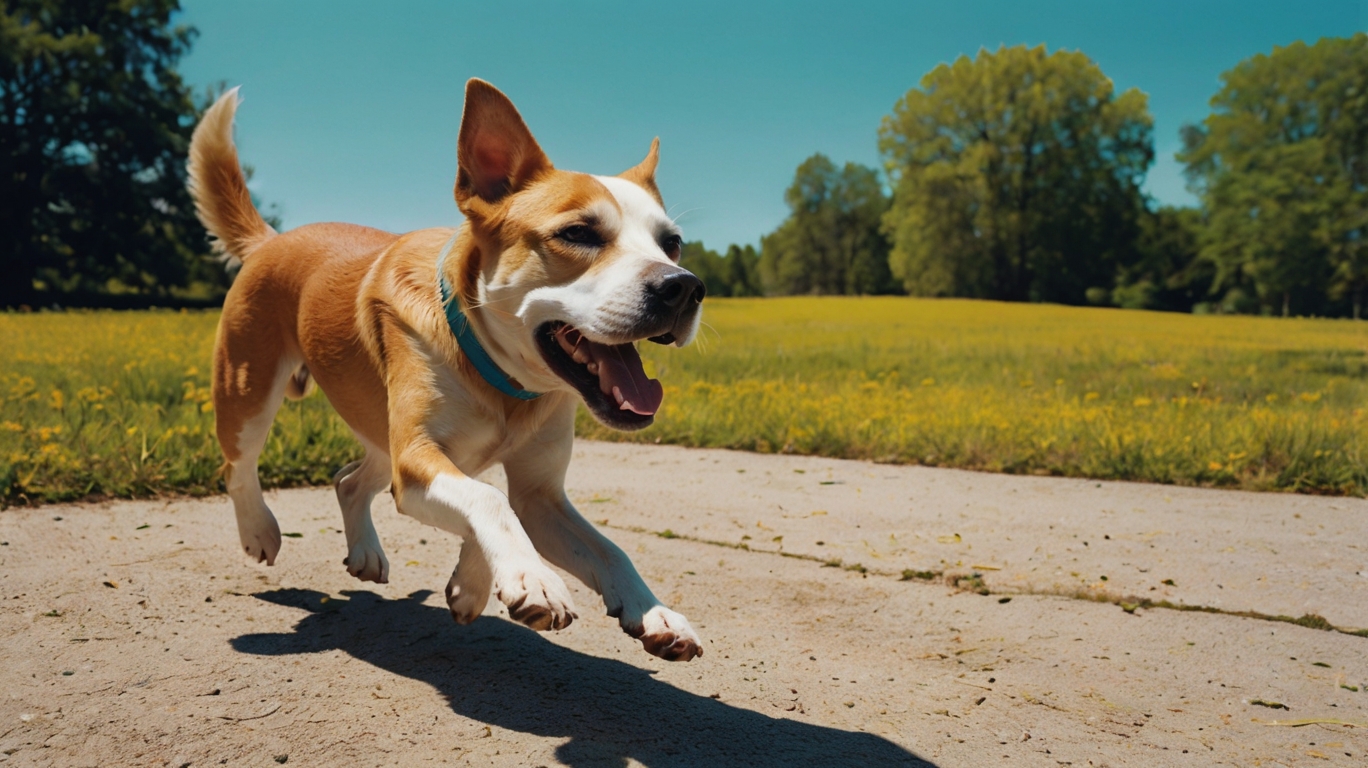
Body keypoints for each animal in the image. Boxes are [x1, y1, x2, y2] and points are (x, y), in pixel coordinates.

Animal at [186, 80, 705, 662]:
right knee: (238, 464)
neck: (504, 381)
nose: (684, 286)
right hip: (248, 388)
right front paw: (534, 579)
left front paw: (652, 610)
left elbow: (603, 546)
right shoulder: (418, 460)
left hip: (380, 431)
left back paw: (366, 551)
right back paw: (259, 531)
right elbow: (489, 499)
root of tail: (271, 239)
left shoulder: (537, 494)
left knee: (349, 481)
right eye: (578, 232)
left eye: (672, 243)